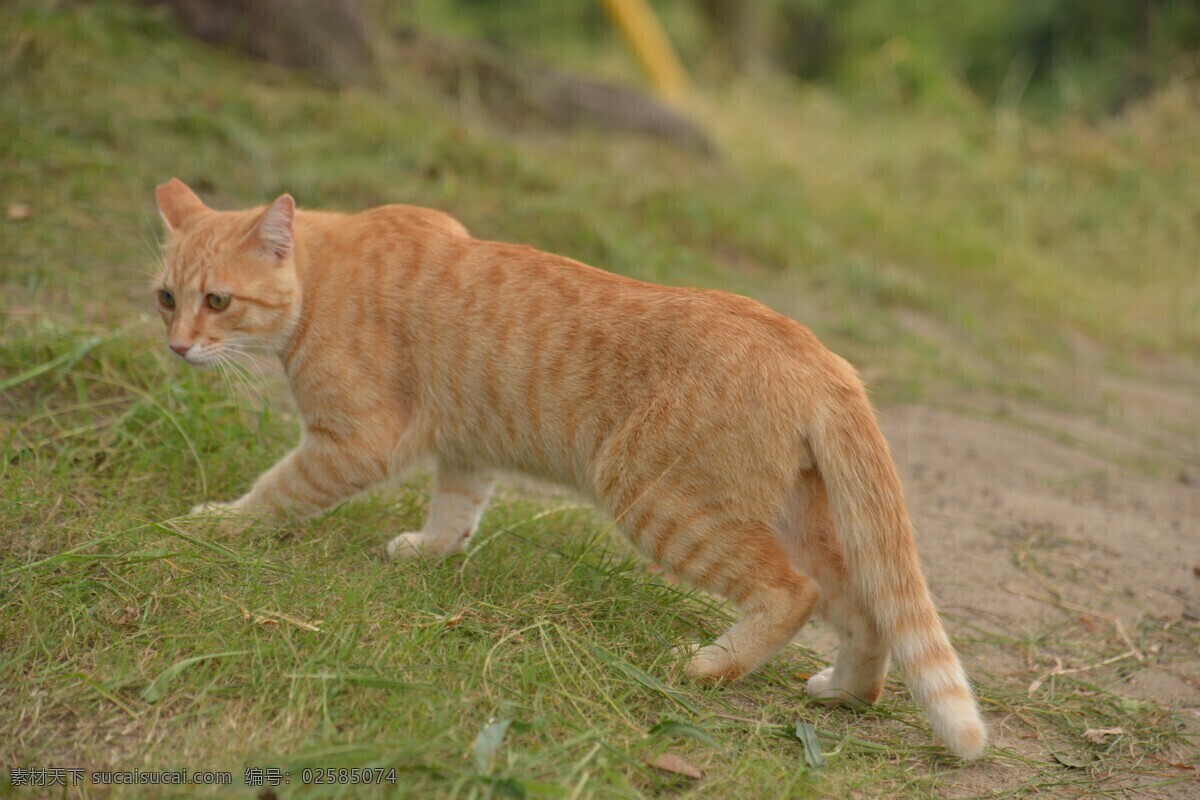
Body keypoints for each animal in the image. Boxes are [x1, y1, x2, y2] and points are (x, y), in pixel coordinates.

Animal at [154, 178, 988, 762]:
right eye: (165, 297)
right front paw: (428, 553)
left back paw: (710, 667)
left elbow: (277, 490)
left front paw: (217, 525)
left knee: (794, 592)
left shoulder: (356, 441)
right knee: (868, 609)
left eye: (218, 300)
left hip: (656, 497)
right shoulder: (466, 446)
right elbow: (455, 510)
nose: (177, 346)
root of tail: (819, 353)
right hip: (801, 520)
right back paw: (844, 694)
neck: (324, 275)